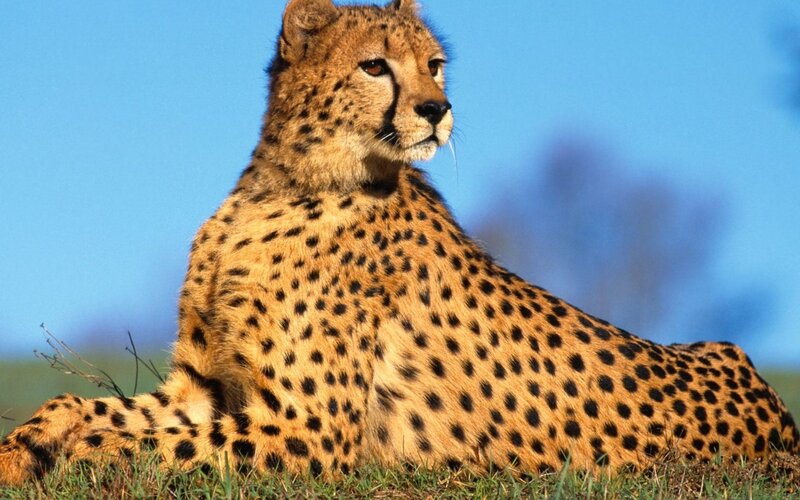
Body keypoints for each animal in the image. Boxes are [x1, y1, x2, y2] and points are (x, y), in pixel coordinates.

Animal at [1, 0, 797, 486]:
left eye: (434, 66)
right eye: (375, 65)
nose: (437, 110)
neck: (286, 182)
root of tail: (778, 422)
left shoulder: (309, 430)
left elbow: (133, 440)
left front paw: (69, 460)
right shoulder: (204, 386)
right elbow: (84, 408)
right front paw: (22, 452)